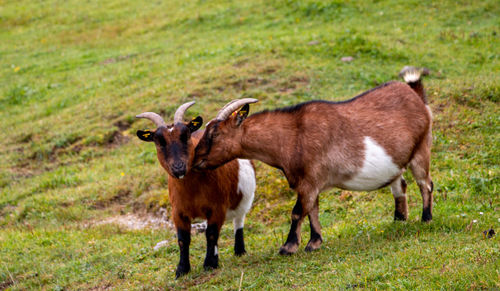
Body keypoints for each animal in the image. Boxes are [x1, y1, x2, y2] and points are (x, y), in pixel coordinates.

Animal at [136, 102, 256, 278]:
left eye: (185, 135)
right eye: (158, 141)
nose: (179, 168)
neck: (193, 190)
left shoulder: (217, 208)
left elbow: (211, 234)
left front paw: (209, 264)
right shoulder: (178, 212)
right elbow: (183, 239)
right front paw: (182, 269)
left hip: (244, 199)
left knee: (238, 221)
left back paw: (239, 251)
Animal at [194, 68, 434, 256]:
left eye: (214, 133)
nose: (196, 160)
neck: (292, 136)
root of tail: (415, 95)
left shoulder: (309, 181)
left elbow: (298, 211)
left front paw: (288, 247)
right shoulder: (310, 184)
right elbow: (313, 210)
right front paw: (314, 242)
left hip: (421, 149)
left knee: (426, 184)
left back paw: (426, 218)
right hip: (396, 163)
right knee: (400, 185)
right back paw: (399, 219)